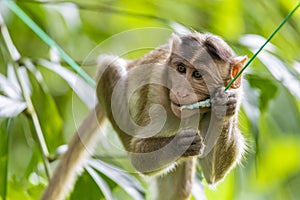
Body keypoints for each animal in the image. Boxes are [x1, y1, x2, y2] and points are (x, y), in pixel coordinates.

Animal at [42, 31, 248, 200]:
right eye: (181, 69)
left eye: (198, 75)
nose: (180, 91)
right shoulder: (156, 86)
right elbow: (141, 160)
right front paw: (181, 143)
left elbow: (213, 175)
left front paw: (225, 106)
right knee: (110, 68)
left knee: (179, 188)